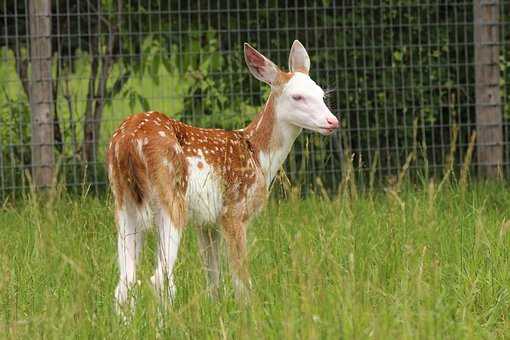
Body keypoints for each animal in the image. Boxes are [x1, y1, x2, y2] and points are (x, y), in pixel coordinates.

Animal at [106, 40, 338, 310]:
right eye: (297, 96)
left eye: (321, 94)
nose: (332, 121)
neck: (258, 156)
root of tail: (128, 141)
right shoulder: (233, 211)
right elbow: (241, 279)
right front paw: (249, 310)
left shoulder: (206, 222)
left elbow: (213, 279)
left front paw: (217, 309)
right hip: (170, 198)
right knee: (158, 279)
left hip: (124, 204)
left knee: (125, 282)